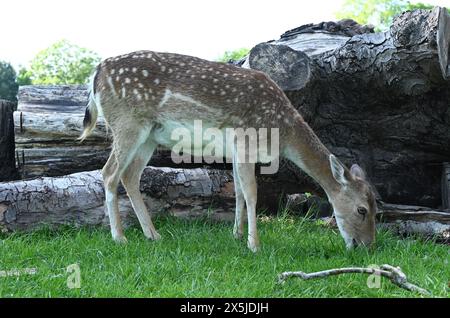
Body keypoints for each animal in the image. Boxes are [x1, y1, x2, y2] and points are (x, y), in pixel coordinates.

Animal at [78, 49, 376, 252]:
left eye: (376, 207)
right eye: (362, 210)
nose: (367, 245)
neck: (283, 131)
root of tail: (96, 73)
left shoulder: (235, 150)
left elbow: (239, 192)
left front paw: (237, 235)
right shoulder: (246, 140)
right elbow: (252, 192)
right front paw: (254, 244)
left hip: (149, 136)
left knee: (130, 176)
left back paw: (153, 235)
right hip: (127, 122)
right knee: (109, 173)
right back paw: (120, 237)